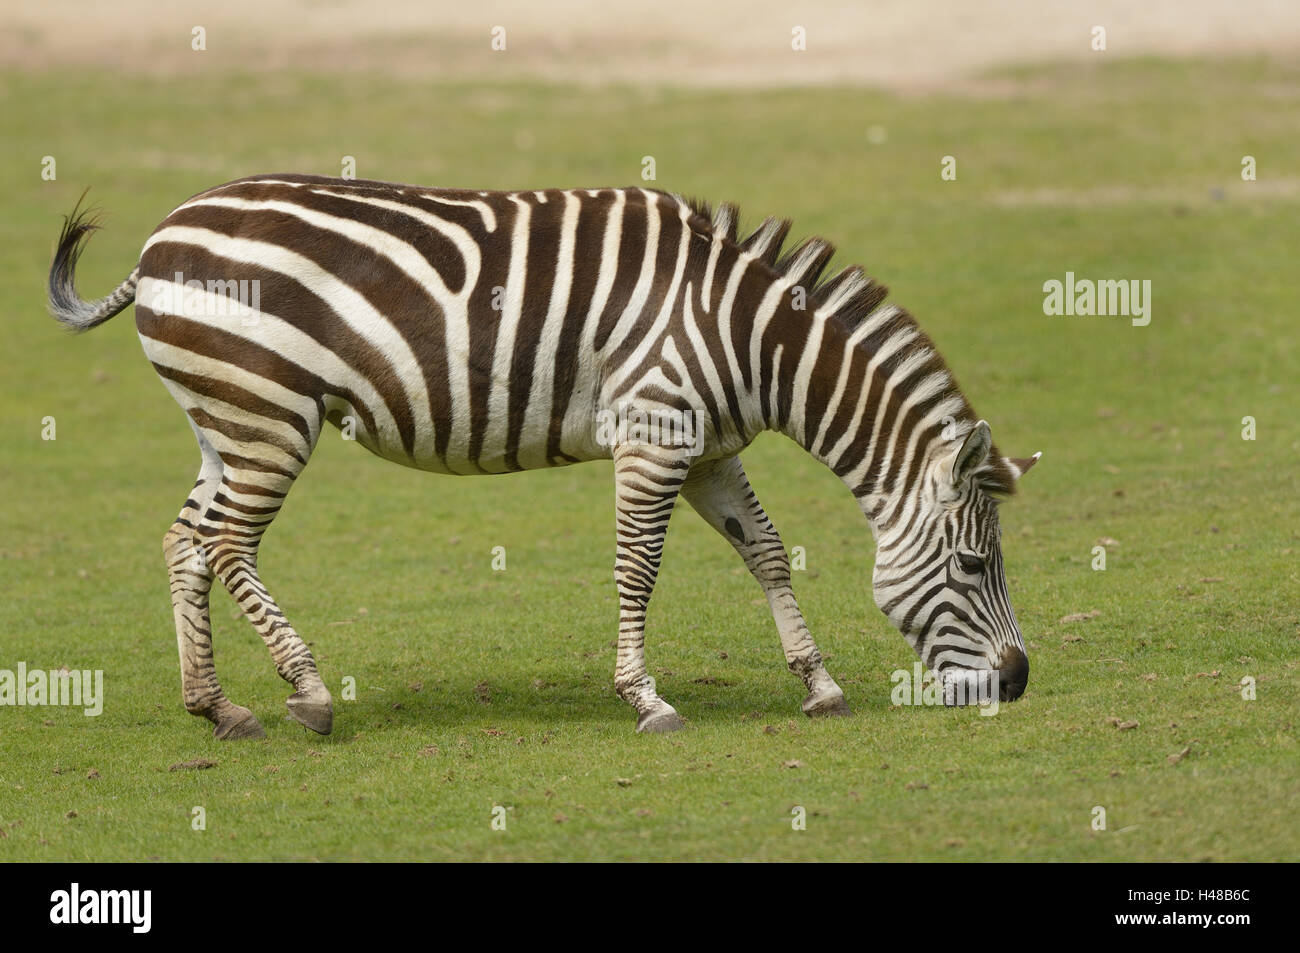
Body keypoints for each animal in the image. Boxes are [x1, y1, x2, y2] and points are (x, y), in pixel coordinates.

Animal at [45, 172, 1040, 738]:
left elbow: (763, 549)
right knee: (225, 543)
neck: (749, 337)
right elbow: (638, 567)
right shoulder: (654, 433)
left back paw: (216, 706)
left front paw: (820, 683)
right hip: (269, 413)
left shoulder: (707, 447)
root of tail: (160, 239)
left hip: (225, 418)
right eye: (973, 563)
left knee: (185, 541)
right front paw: (646, 699)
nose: (1019, 681)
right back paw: (311, 690)